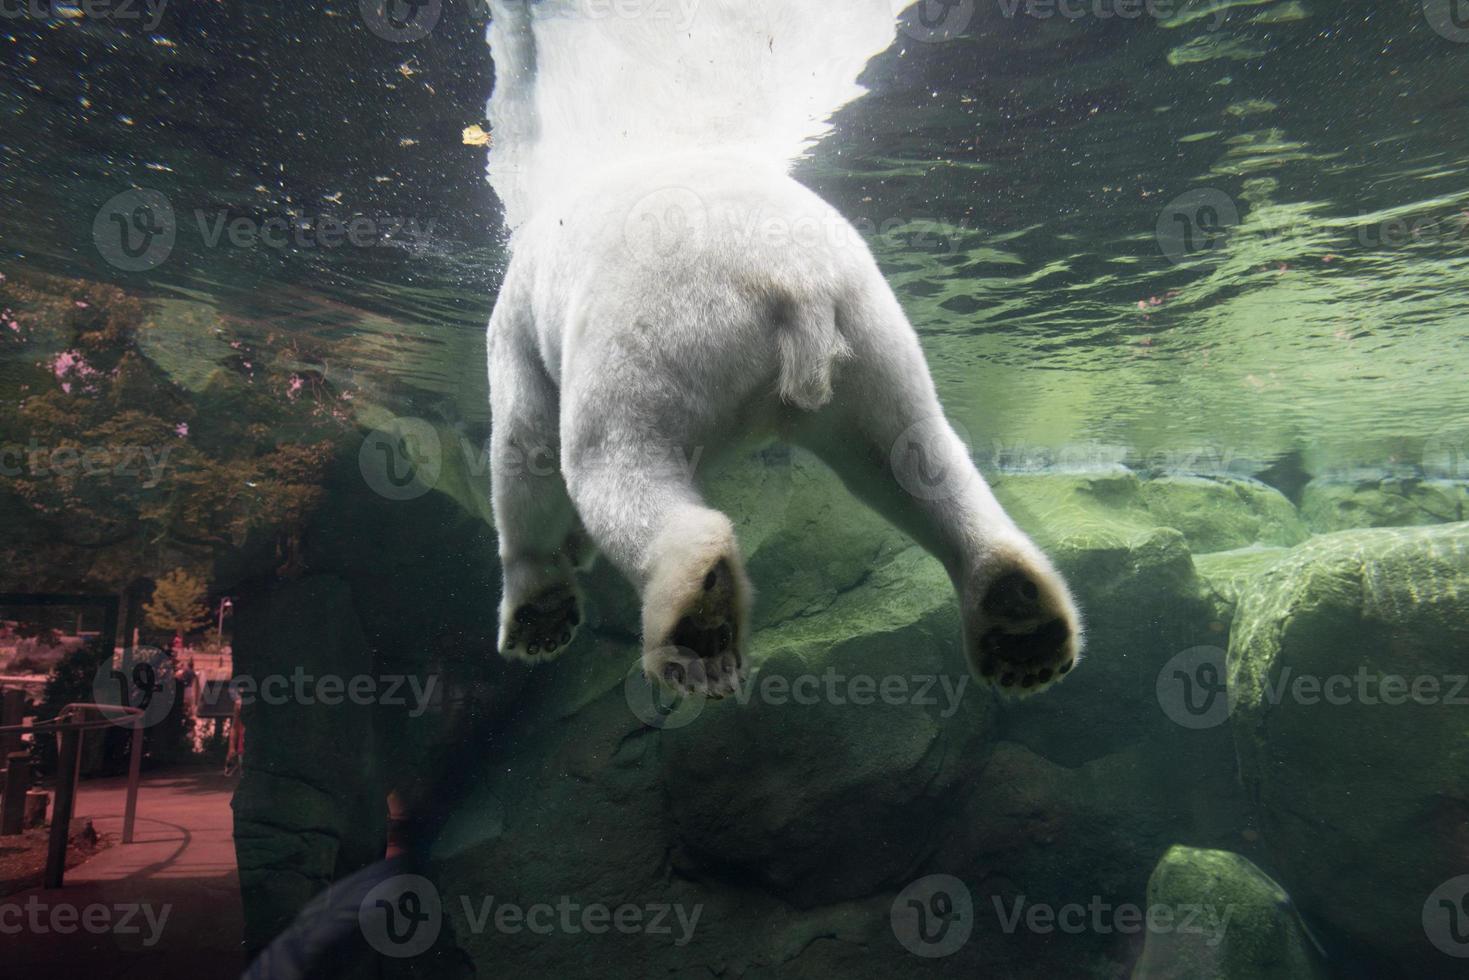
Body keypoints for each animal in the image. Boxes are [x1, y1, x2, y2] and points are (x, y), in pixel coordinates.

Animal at [487, 149, 1087, 693]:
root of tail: (791, 274)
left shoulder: (516, 327)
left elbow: (526, 452)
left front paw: (538, 614)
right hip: (871, 337)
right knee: (909, 456)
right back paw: (1019, 619)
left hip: (656, 320)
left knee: (611, 454)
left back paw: (695, 617)